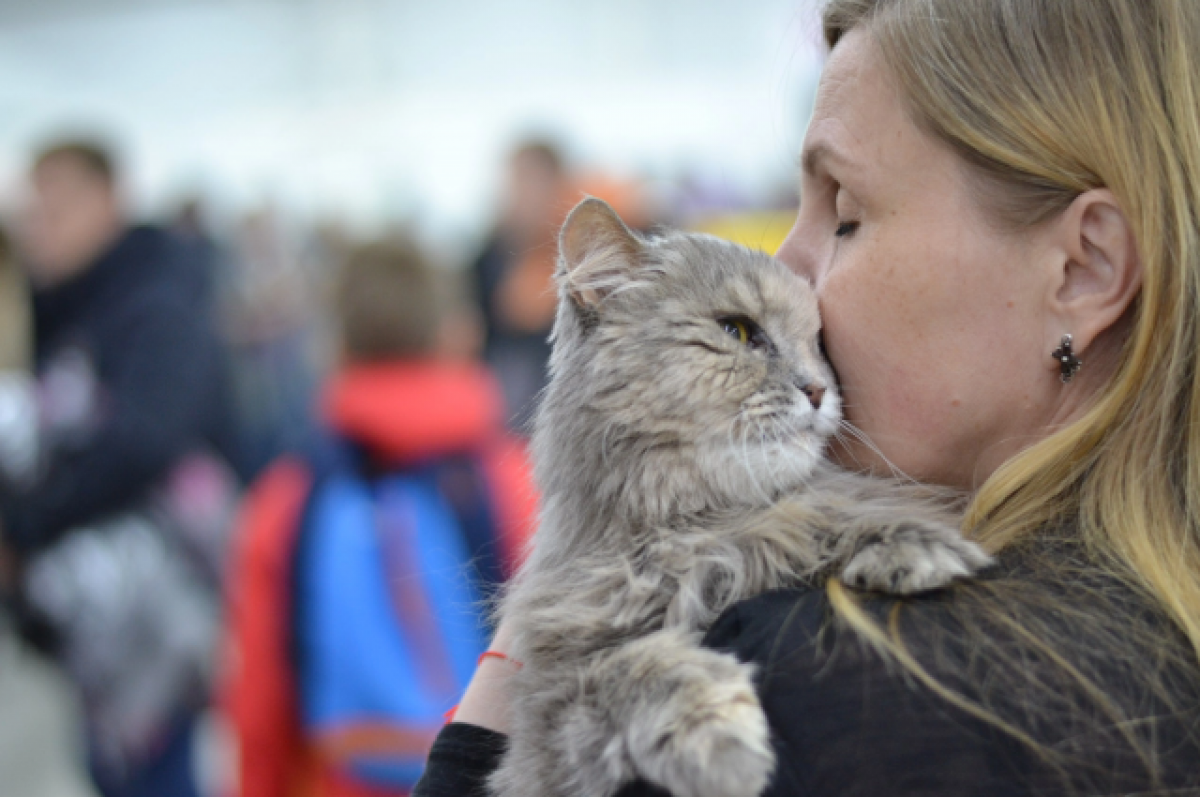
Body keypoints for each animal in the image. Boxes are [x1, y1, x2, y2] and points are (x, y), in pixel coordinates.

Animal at [489, 198, 993, 797]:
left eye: (818, 345)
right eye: (737, 330)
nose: (818, 390)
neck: (697, 527)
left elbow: (826, 519)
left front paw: (914, 548)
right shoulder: (547, 712)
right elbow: (633, 668)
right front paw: (718, 739)